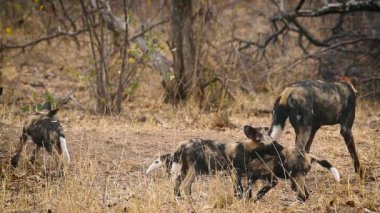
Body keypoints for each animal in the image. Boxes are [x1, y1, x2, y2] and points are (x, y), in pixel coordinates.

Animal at [147, 126, 284, 198]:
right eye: (274, 144)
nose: (282, 147)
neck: (248, 149)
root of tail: (183, 144)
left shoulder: (244, 174)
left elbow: (243, 190)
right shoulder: (234, 172)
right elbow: (239, 190)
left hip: (185, 169)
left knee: (177, 183)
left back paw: (179, 198)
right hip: (195, 169)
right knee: (186, 185)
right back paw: (190, 201)